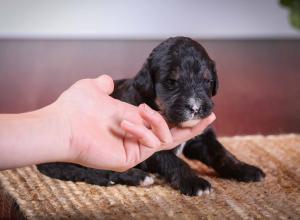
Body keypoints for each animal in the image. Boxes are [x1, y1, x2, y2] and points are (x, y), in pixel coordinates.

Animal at [38, 37, 264, 197]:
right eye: (171, 82)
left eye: (207, 81)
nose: (195, 107)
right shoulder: (150, 146)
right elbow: (174, 161)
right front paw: (194, 182)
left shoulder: (201, 138)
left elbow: (222, 154)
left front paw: (246, 169)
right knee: (93, 171)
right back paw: (138, 177)